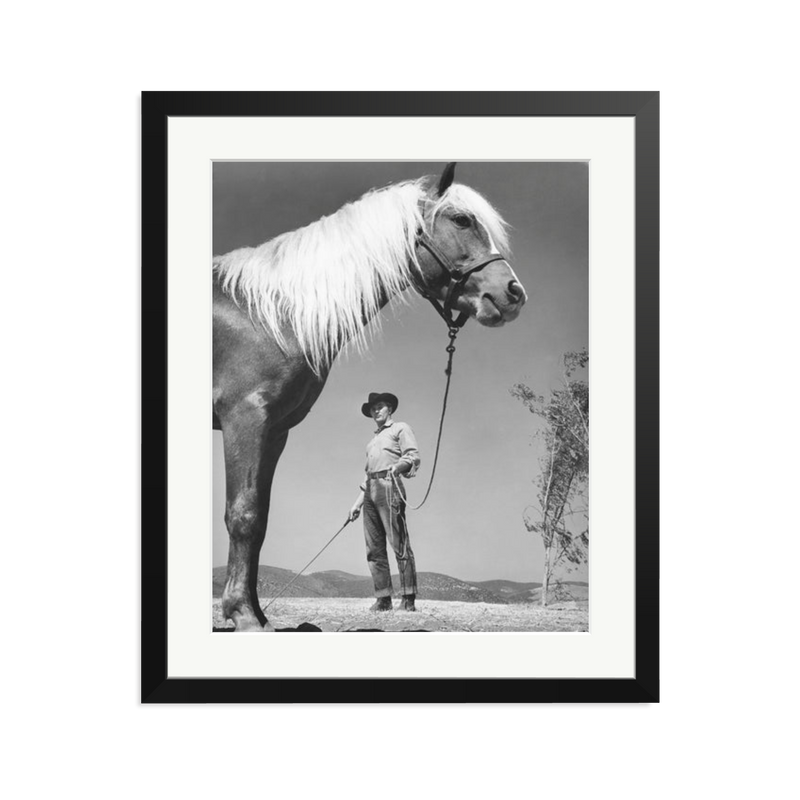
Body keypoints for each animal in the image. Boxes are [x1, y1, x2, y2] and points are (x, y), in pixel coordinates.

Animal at [212, 163, 527, 631]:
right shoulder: (244, 418)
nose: (513, 294)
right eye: (461, 220)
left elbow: (261, 518)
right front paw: (243, 615)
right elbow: (244, 515)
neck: (266, 313)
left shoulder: (275, 431)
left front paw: (256, 613)